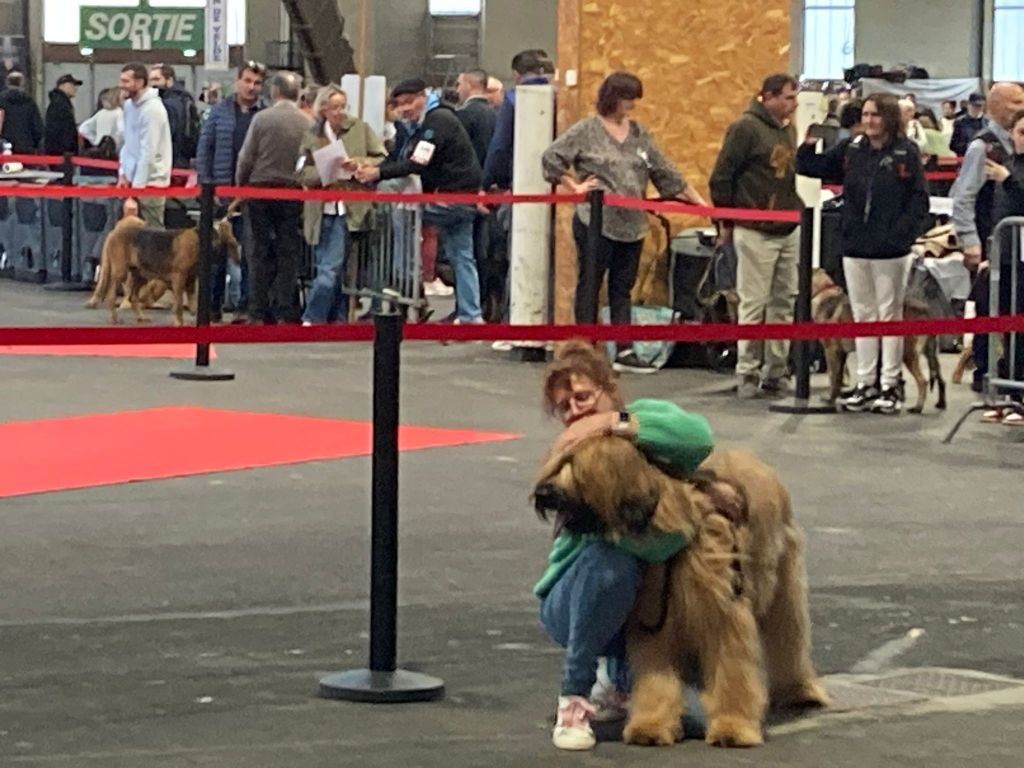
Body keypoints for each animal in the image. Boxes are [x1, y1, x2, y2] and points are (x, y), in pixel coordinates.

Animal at [532, 442, 827, 749]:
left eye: (576, 466)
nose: (542, 493)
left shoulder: (725, 617)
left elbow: (731, 674)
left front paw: (733, 727)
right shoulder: (655, 622)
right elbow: (656, 677)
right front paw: (651, 725)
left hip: (783, 586)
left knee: (789, 639)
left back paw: (800, 691)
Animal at [811, 270, 946, 415]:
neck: (823, 292)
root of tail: (925, 310)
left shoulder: (830, 352)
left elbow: (832, 376)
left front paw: (830, 399)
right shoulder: (841, 354)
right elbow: (838, 378)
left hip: (908, 354)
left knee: (922, 381)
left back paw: (918, 407)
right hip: (930, 354)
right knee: (941, 379)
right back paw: (941, 403)